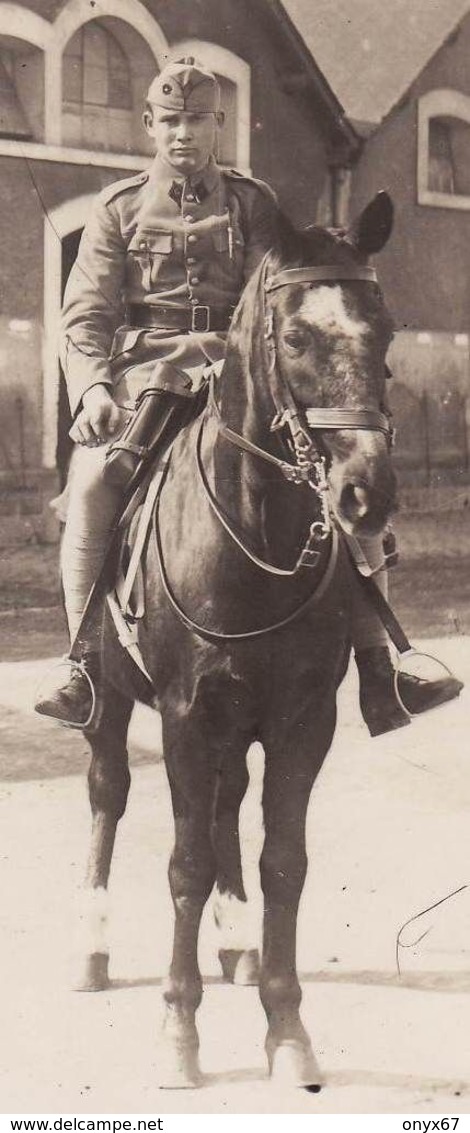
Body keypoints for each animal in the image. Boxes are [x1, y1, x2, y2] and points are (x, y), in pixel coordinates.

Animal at [76, 192, 398, 1087]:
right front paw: (177, 1032)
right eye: (296, 337)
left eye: (386, 331)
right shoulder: (186, 716)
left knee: (225, 806)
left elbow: (282, 861)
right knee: (108, 793)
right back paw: (95, 949)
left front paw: (286, 1028)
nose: (367, 493)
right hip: (112, 704)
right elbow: (183, 862)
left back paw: (235, 945)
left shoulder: (301, 720)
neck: (254, 533)